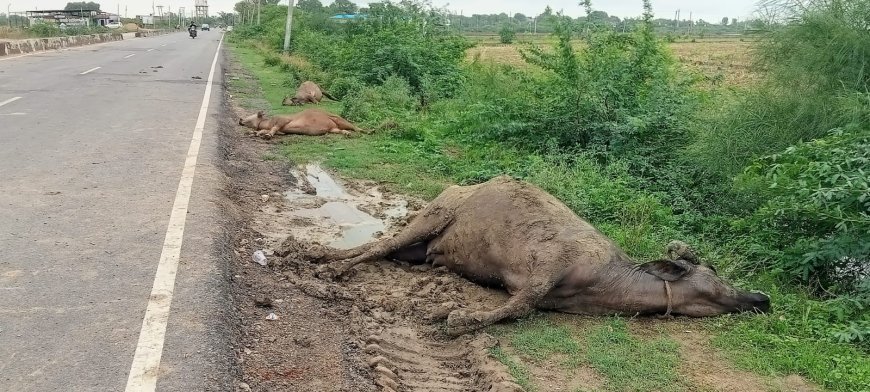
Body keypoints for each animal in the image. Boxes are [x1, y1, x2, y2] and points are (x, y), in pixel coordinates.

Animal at [316, 176, 772, 336]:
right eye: (713, 272)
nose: (762, 298)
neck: (606, 282)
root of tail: (454, 190)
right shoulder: (545, 270)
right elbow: (519, 307)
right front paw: (456, 318)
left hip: (418, 250)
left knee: (381, 247)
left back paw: (318, 254)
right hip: (434, 215)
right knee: (380, 245)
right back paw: (331, 268)